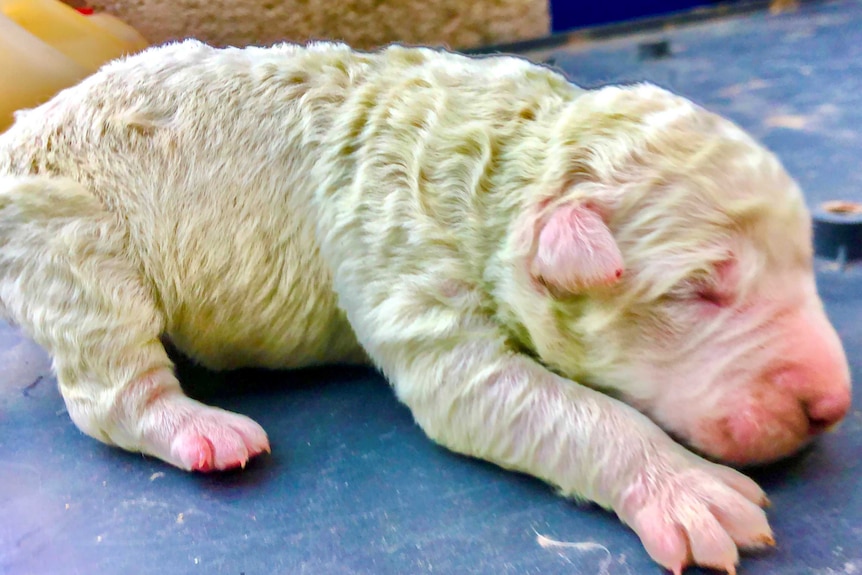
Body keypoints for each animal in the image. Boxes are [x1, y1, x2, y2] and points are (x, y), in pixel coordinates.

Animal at [0, 41, 852, 575]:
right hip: (72, 240)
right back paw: (201, 429)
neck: (506, 163)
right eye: (698, 289)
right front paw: (691, 491)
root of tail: (20, 129)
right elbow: (551, 405)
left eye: (804, 260)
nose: (833, 404)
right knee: (108, 386)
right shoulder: (400, 247)